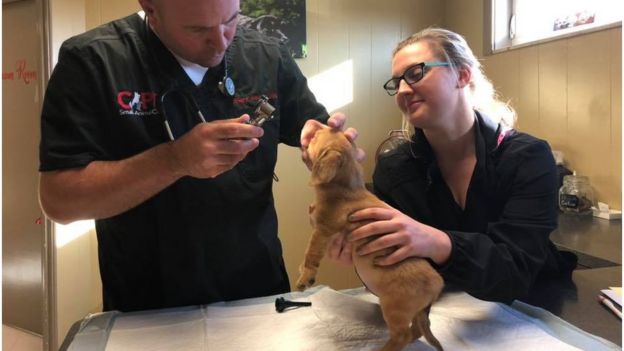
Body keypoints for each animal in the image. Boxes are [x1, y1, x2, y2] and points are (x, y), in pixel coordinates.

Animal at [296, 129, 444, 351]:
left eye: (314, 138)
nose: (309, 130)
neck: (346, 189)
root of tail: (437, 284)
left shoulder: (322, 231)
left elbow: (310, 255)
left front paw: (305, 278)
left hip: (394, 309)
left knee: (402, 335)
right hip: (416, 312)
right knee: (417, 330)